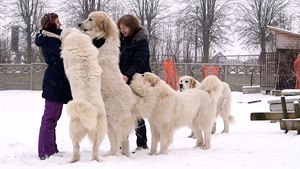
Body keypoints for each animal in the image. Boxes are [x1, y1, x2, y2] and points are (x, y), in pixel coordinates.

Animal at [77, 10, 138, 156]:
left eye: (90, 19)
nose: (79, 24)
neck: (103, 41)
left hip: (113, 119)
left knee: (121, 141)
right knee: (120, 142)